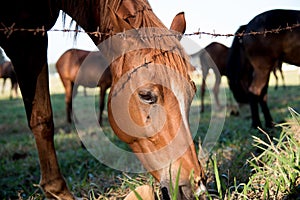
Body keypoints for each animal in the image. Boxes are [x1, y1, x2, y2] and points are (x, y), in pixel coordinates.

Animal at [0, 1, 206, 198]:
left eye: (192, 93)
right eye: (146, 95)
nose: (197, 187)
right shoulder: (26, 40)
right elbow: (42, 118)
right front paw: (57, 191)